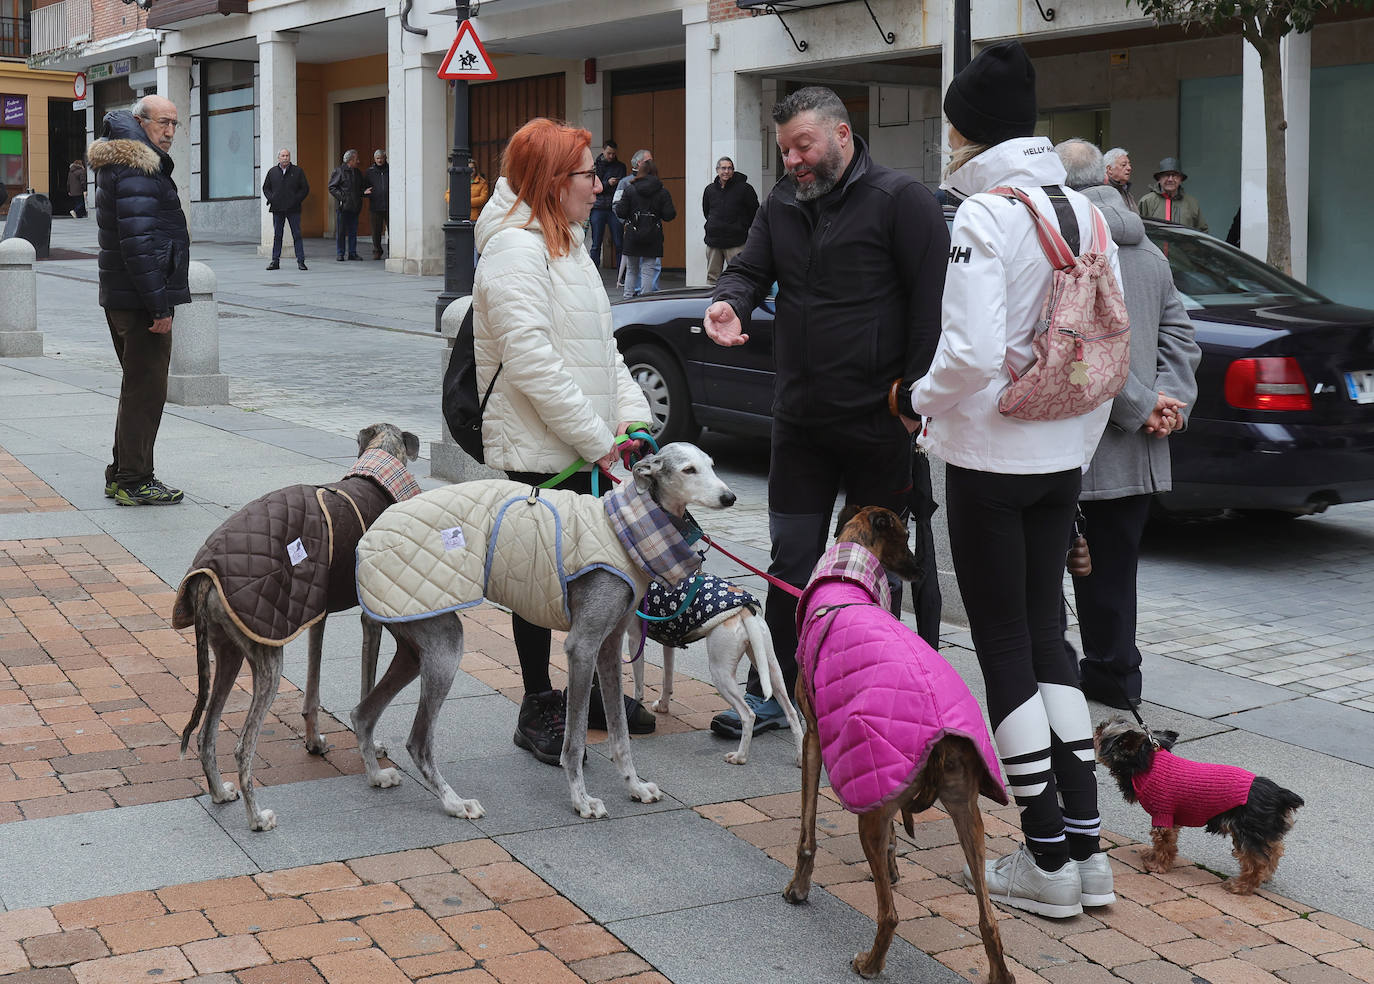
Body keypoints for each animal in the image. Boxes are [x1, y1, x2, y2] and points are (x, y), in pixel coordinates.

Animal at [780, 508, 1016, 984]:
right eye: (907, 537)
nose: (920, 570)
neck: (846, 584)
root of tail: (944, 733)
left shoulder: (815, 736)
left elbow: (807, 831)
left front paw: (798, 888)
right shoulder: (883, 789)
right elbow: (892, 841)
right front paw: (891, 868)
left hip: (869, 814)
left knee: (889, 915)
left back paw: (870, 964)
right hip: (968, 813)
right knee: (988, 919)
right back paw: (999, 973)